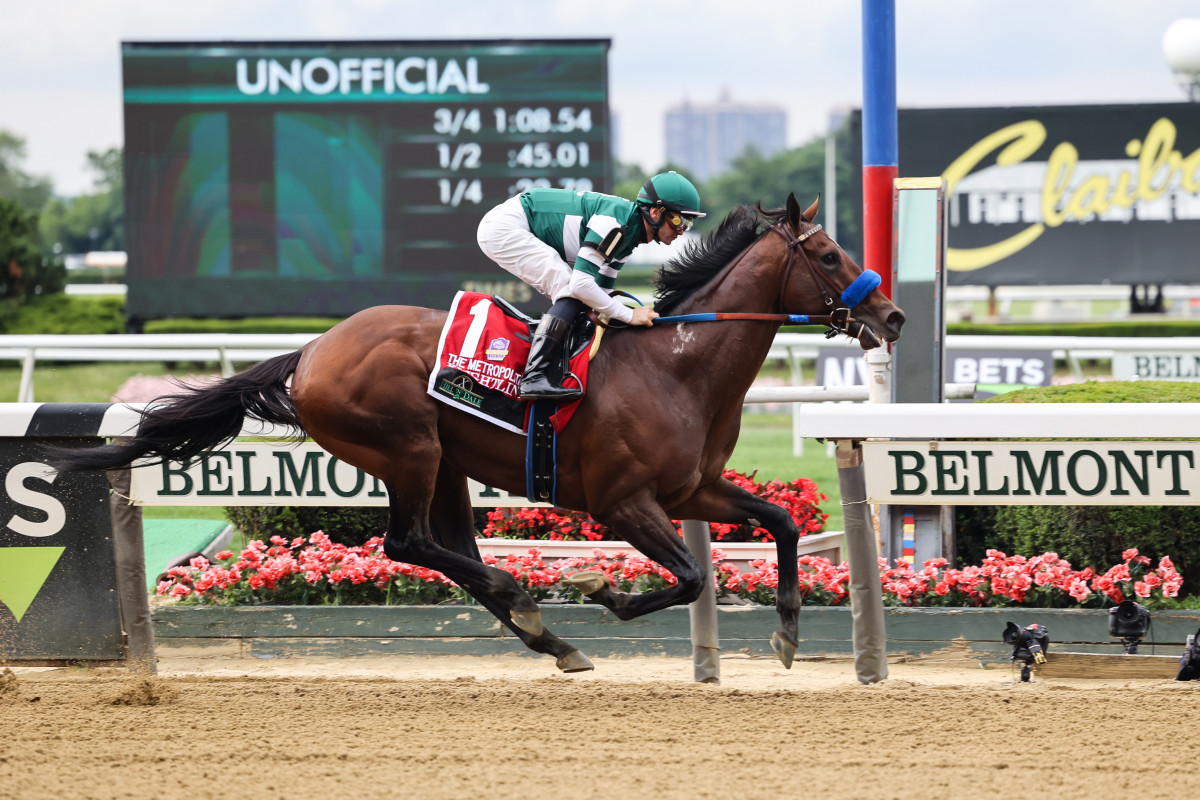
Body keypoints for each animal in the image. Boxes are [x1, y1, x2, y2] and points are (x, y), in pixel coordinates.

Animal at [49, 193, 904, 673]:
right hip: (408, 449)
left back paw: (544, 634)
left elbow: (782, 523)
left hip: (447, 464)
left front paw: (788, 633)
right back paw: (528, 601)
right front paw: (601, 589)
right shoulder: (623, 503)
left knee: (446, 549)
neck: (676, 365)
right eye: (828, 253)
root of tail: (311, 350)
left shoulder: (692, 489)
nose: (891, 316)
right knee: (408, 544)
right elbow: (695, 577)